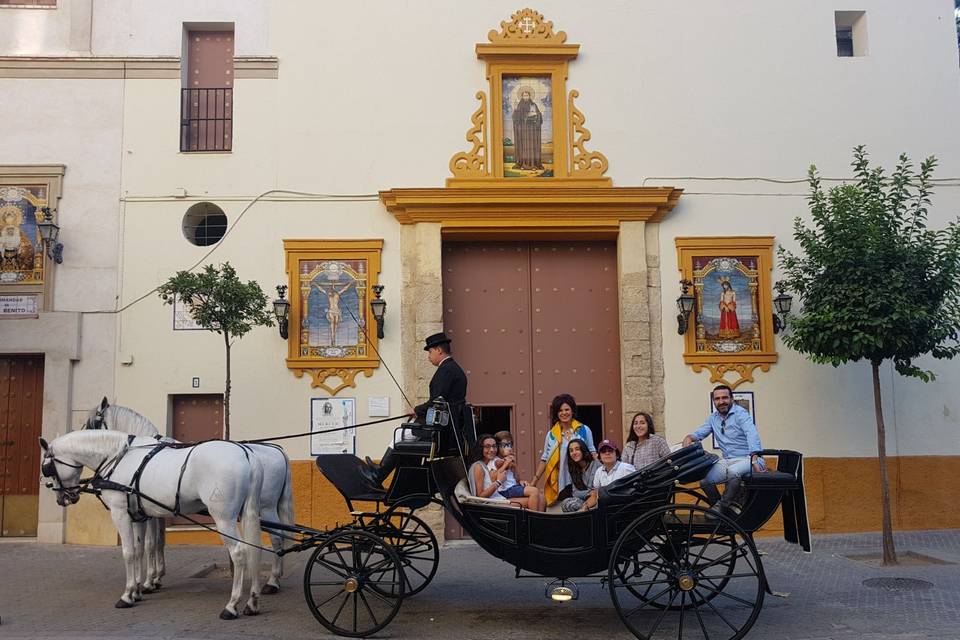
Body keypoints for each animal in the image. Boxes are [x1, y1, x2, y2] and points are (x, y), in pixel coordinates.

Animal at [42, 430, 262, 620]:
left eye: (48, 468)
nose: (62, 498)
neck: (117, 458)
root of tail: (245, 455)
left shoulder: (120, 513)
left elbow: (129, 552)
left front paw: (127, 595)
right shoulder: (138, 516)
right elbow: (139, 550)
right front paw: (137, 591)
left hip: (224, 518)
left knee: (239, 553)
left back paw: (232, 605)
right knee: (253, 551)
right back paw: (252, 602)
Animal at [81, 400, 294, 596]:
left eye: (93, 424)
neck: (142, 456)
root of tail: (277, 451)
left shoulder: (148, 512)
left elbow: (150, 544)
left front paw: (149, 581)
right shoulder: (155, 511)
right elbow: (158, 542)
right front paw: (156, 577)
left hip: (265, 508)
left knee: (276, 539)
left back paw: (272, 581)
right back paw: (275, 579)